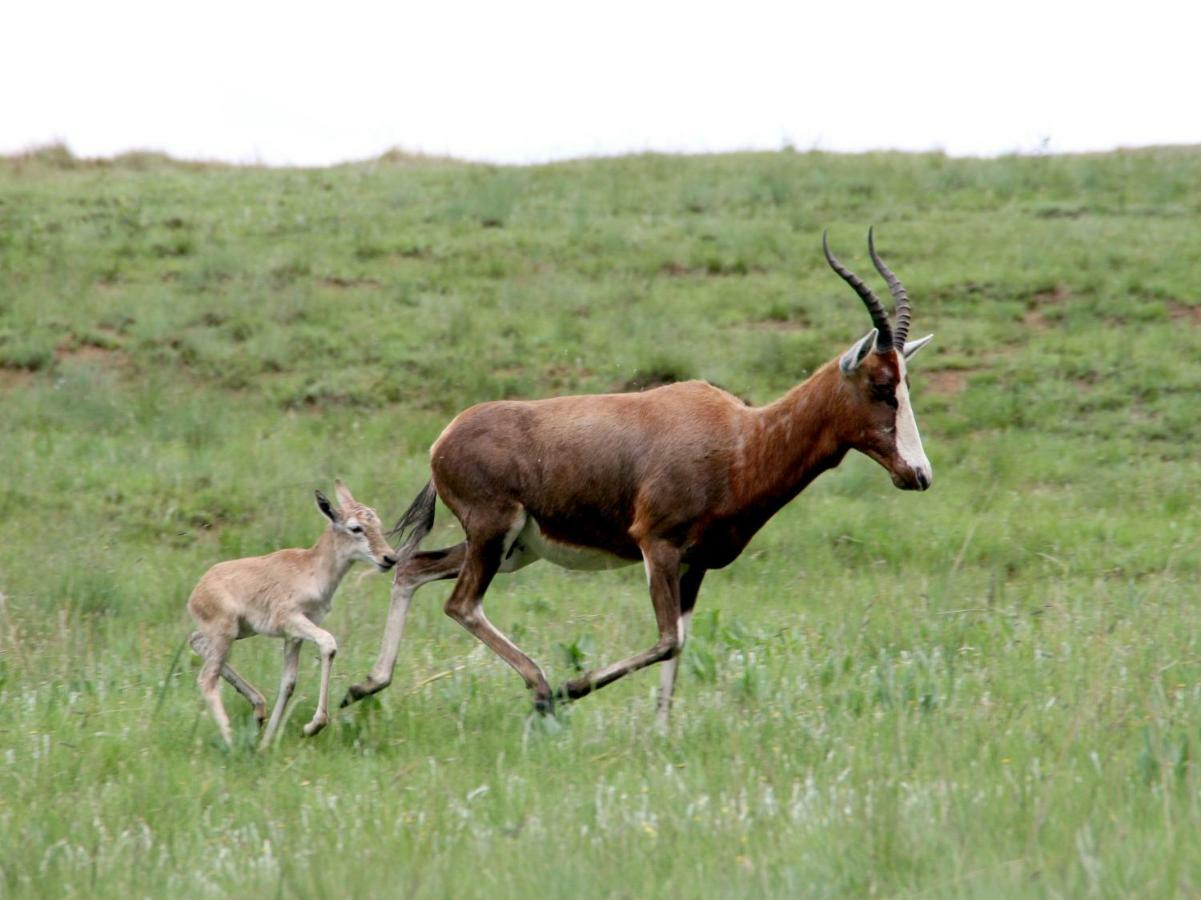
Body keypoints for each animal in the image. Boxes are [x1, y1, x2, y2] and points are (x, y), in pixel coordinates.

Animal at [186, 480, 413, 749]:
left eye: (376, 522)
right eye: (356, 527)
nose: (389, 558)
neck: (310, 568)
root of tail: (198, 589)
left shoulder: (293, 636)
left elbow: (288, 683)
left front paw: (267, 743)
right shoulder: (293, 622)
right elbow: (328, 644)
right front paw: (312, 727)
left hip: (238, 633)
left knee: (195, 641)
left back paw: (259, 710)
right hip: (226, 635)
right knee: (207, 679)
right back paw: (232, 742)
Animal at [343, 229, 931, 720]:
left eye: (905, 383)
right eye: (881, 384)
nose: (919, 475)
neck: (741, 435)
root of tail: (443, 439)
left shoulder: (695, 567)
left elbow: (679, 648)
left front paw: (660, 735)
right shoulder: (658, 546)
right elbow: (667, 641)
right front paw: (574, 687)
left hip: (513, 549)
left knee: (412, 569)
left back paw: (365, 685)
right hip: (494, 534)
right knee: (461, 603)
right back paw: (543, 689)